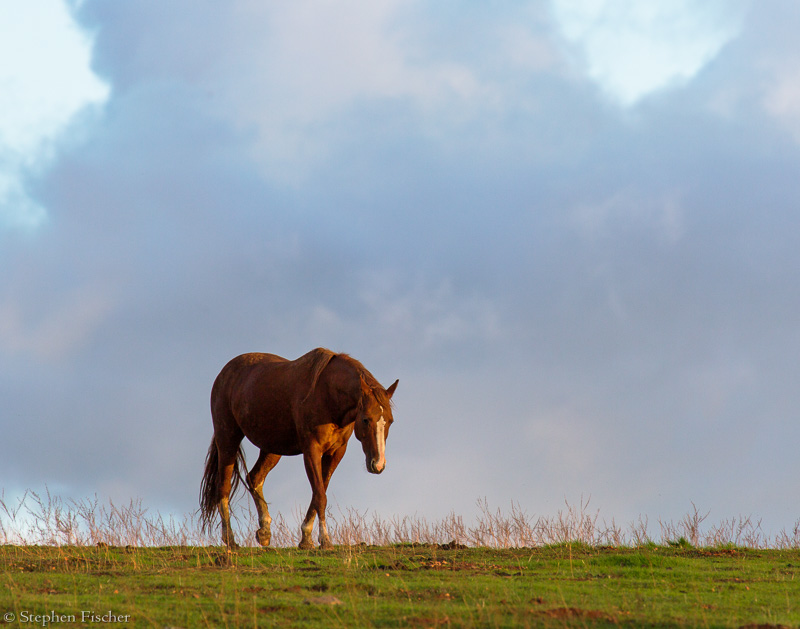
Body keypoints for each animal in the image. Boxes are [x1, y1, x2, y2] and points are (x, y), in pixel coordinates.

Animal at [200, 348, 400, 548]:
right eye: (366, 419)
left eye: (390, 421)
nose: (378, 464)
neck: (327, 395)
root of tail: (225, 372)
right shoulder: (311, 451)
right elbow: (320, 495)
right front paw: (324, 540)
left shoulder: (336, 452)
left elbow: (320, 491)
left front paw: (306, 538)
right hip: (227, 439)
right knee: (224, 487)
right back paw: (230, 540)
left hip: (272, 448)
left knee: (254, 478)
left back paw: (264, 531)